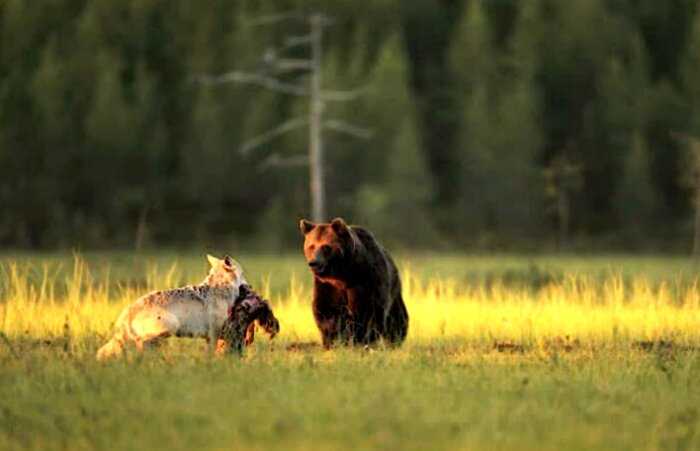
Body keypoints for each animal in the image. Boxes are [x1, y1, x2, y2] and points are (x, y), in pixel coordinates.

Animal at [298, 217, 408, 348]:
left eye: (325, 246)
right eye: (311, 246)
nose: (314, 263)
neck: (343, 273)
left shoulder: (365, 280)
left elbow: (369, 311)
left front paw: (361, 340)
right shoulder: (327, 285)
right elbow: (326, 309)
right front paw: (335, 338)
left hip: (394, 291)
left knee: (397, 319)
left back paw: (394, 340)